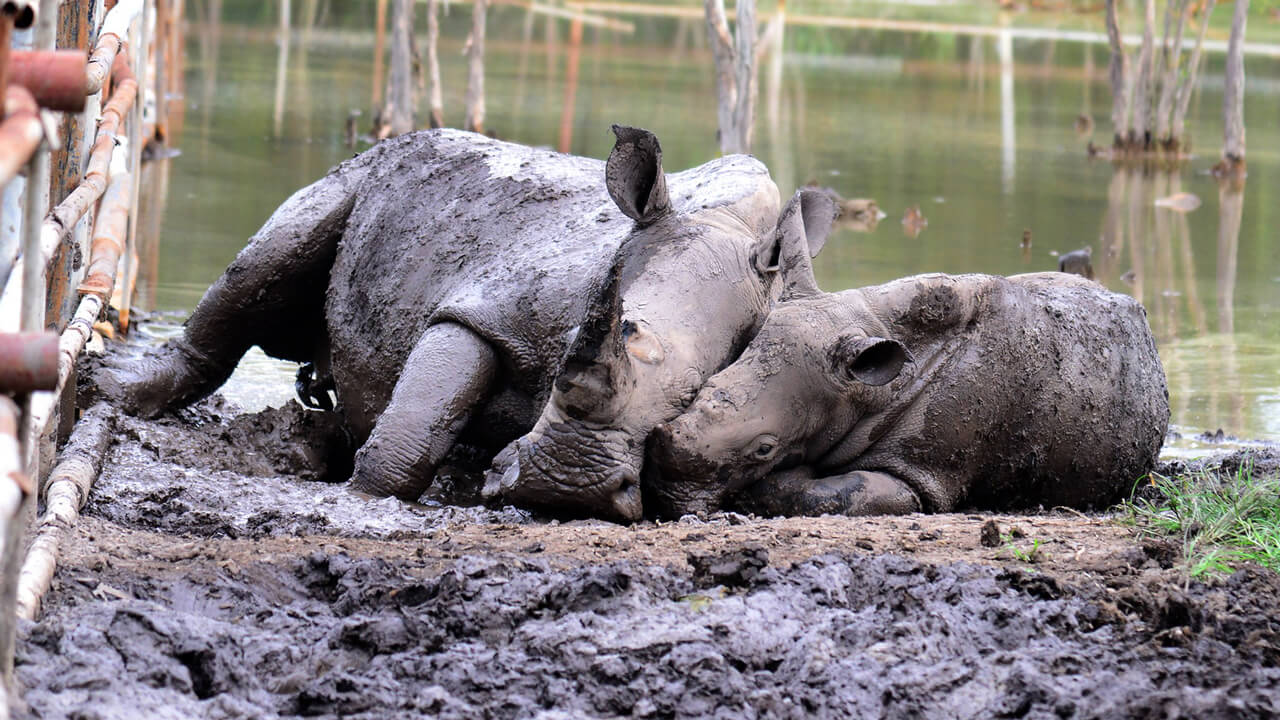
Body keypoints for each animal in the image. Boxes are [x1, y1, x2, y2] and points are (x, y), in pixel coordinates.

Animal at [112, 126, 839, 520]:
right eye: (602, 329)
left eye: (690, 403)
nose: (565, 483)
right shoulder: (486, 306)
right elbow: (410, 434)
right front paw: (362, 498)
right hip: (363, 170)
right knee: (271, 260)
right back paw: (112, 390)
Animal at [650, 248, 1172, 515]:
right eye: (702, 390)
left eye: (765, 449)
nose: (665, 494)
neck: (865, 389)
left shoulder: (922, 475)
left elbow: (824, 493)